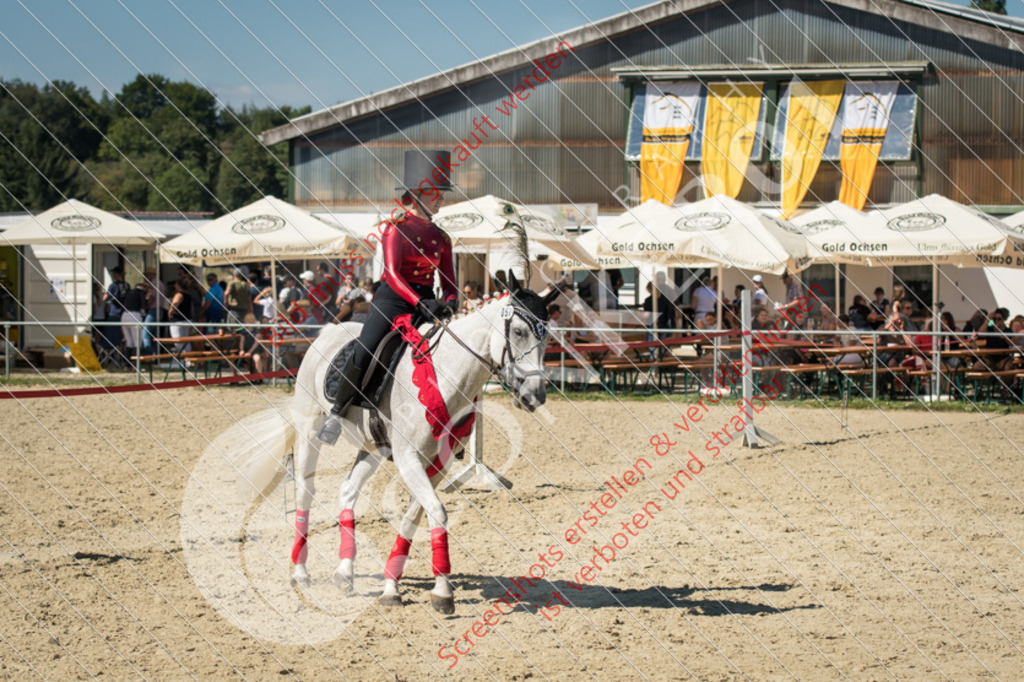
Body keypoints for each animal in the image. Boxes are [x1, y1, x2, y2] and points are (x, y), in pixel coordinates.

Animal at [238, 274, 557, 614]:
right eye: (519, 332)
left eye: (547, 337)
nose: (536, 395)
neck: (443, 375)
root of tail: (327, 332)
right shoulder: (408, 458)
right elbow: (437, 512)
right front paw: (443, 591)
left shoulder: (436, 464)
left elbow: (416, 516)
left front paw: (393, 586)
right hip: (310, 431)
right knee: (305, 492)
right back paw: (300, 571)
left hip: (373, 448)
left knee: (347, 491)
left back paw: (345, 571)